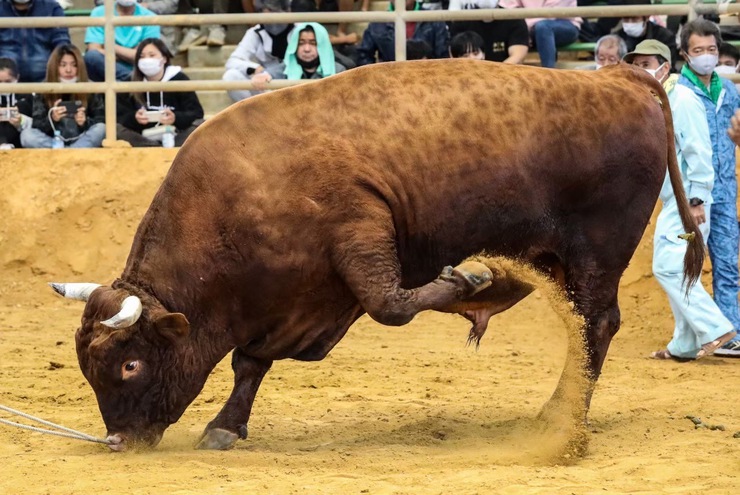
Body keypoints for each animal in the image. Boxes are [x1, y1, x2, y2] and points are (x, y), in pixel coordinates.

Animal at [50, 60, 700, 452]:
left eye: (130, 365)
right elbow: (249, 364)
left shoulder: (360, 235)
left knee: (596, 327)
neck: (238, 195)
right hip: (558, 258)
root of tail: (617, 78)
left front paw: (469, 277)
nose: (117, 441)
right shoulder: (284, 301)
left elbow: (392, 304)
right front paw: (225, 427)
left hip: (596, 255)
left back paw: (566, 420)